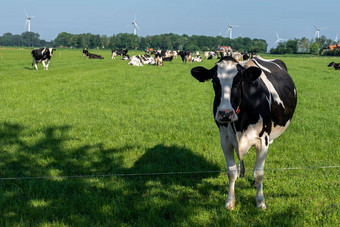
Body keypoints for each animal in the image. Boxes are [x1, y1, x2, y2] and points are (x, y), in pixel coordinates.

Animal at [191, 55, 298, 210]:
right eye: (215, 82)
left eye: (238, 81)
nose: (225, 113)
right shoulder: (225, 140)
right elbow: (231, 172)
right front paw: (230, 201)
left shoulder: (263, 140)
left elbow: (258, 173)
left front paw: (260, 201)